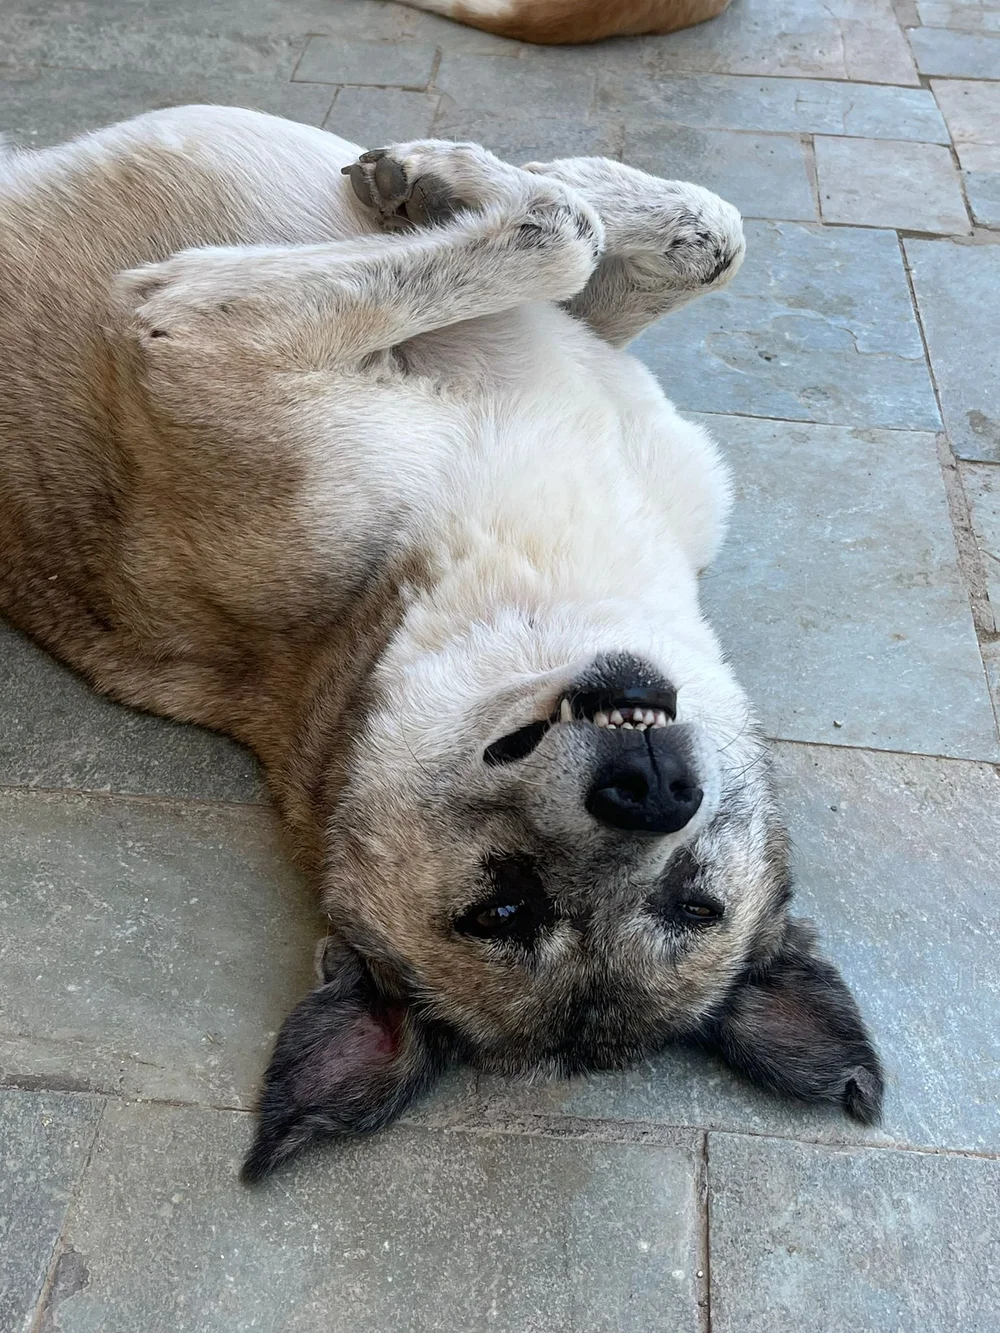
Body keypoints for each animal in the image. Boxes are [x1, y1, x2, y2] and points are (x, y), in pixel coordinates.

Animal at [0, 108, 883, 1181]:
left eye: (692, 904)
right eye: (501, 910)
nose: (653, 786)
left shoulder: (200, 324)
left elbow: (617, 231)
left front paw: (458, 180)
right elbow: (645, 231)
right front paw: (451, 179)